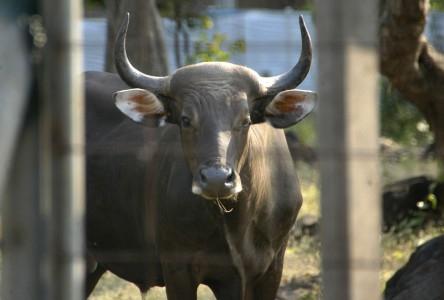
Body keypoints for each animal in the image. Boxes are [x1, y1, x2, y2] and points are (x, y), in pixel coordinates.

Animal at [86, 12, 316, 300]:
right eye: (185, 119)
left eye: (245, 120)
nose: (217, 179)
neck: (236, 226)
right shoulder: (178, 268)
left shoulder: (271, 268)